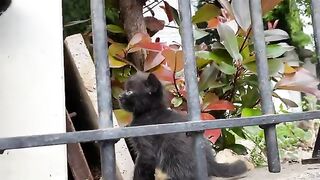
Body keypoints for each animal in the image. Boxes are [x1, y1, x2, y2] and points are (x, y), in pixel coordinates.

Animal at [119, 72, 249, 180]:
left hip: (173, 155)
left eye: (129, 91)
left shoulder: (146, 151)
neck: (149, 112)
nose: (120, 96)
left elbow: (140, 169)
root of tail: (211, 163)